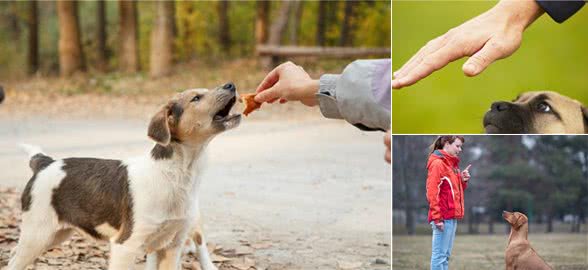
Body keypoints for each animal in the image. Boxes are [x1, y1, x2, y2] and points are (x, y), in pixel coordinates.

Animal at [7, 82, 241, 270]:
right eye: (196, 98)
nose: (231, 85)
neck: (176, 175)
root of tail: (44, 163)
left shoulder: (172, 246)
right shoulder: (125, 245)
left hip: (55, 234)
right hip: (37, 233)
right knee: (14, 262)